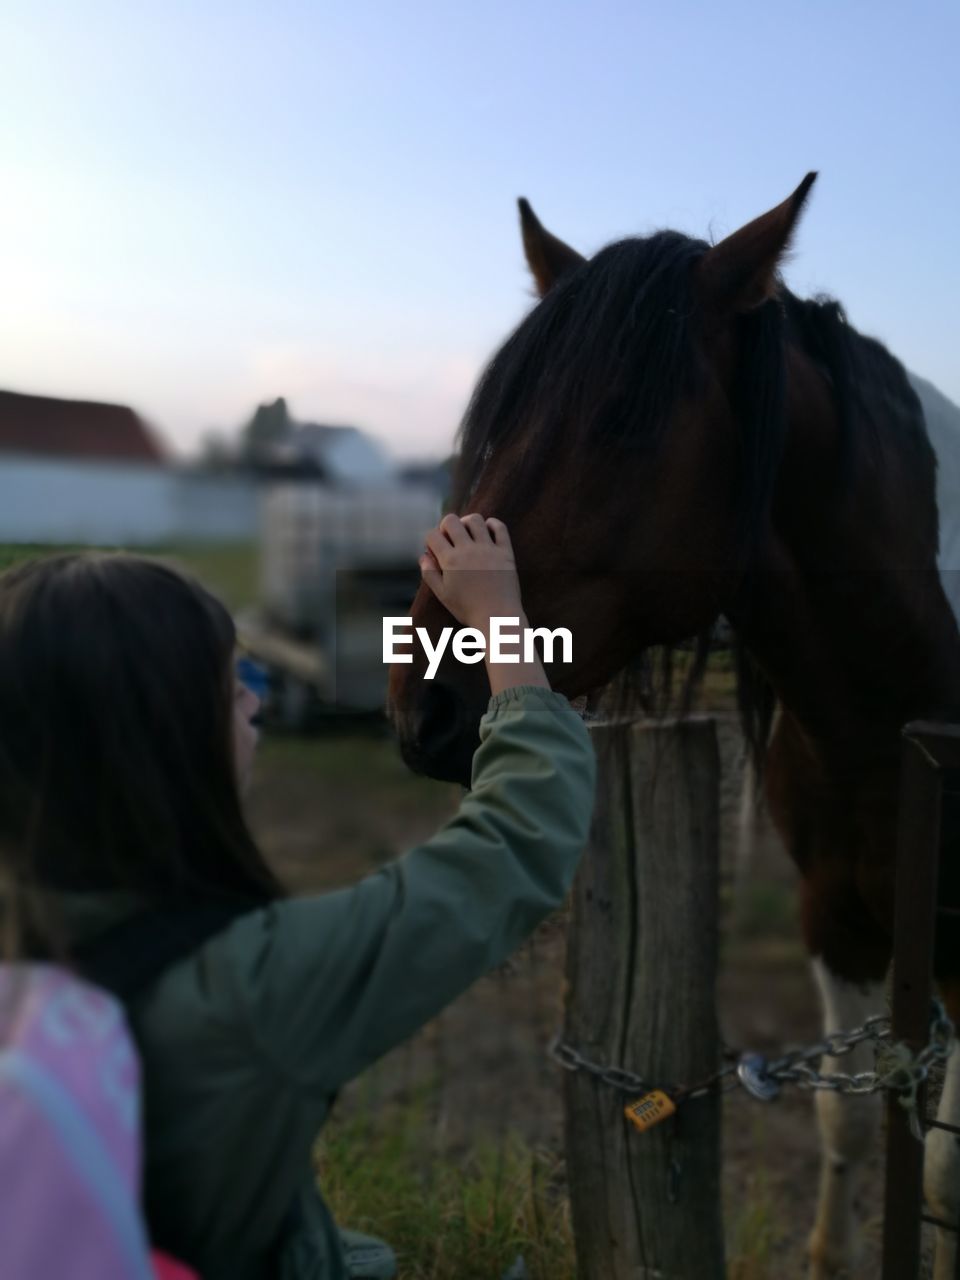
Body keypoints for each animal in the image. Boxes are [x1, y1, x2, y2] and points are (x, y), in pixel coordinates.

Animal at [386, 177, 960, 1280]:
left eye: (622, 423)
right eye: (501, 420)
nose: (420, 707)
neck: (896, 720)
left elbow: (946, 1179)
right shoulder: (837, 917)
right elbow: (847, 1119)